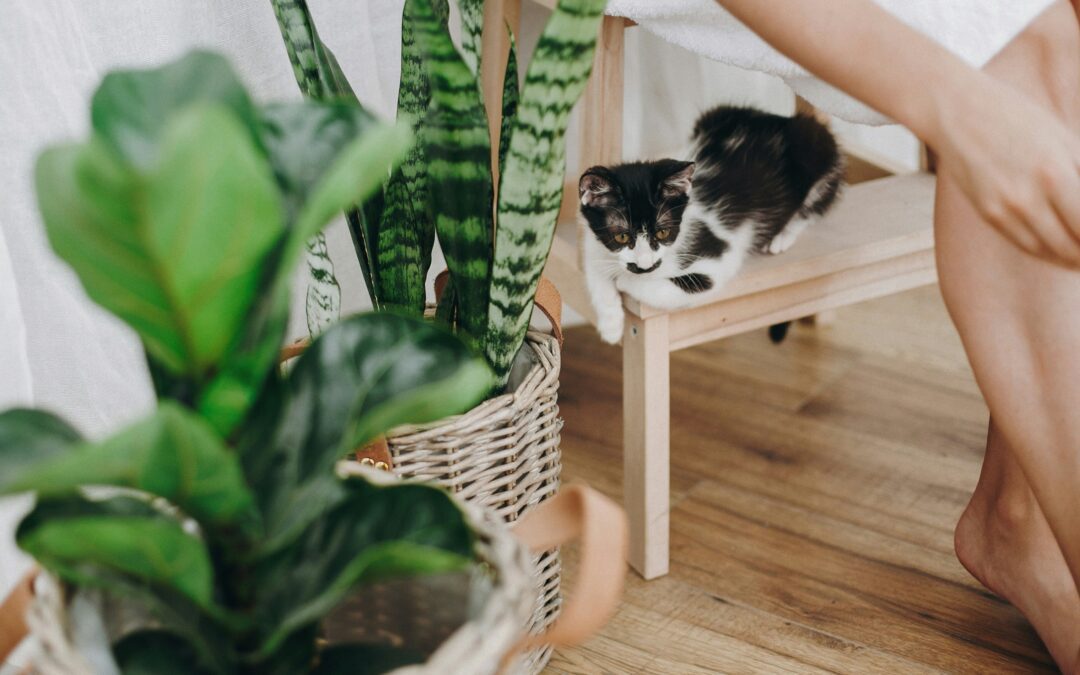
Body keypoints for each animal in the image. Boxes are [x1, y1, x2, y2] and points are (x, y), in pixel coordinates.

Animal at [583, 104, 842, 341]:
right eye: (622, 236)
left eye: (663, 233)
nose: (645, 263)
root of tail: (782, 119)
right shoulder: (593, 242)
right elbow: (595, 268)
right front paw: (610, 325)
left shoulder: (719, 254)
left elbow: (671, 286)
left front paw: (624, 282)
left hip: (815, 146)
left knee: (818, 202)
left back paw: (782, 236)